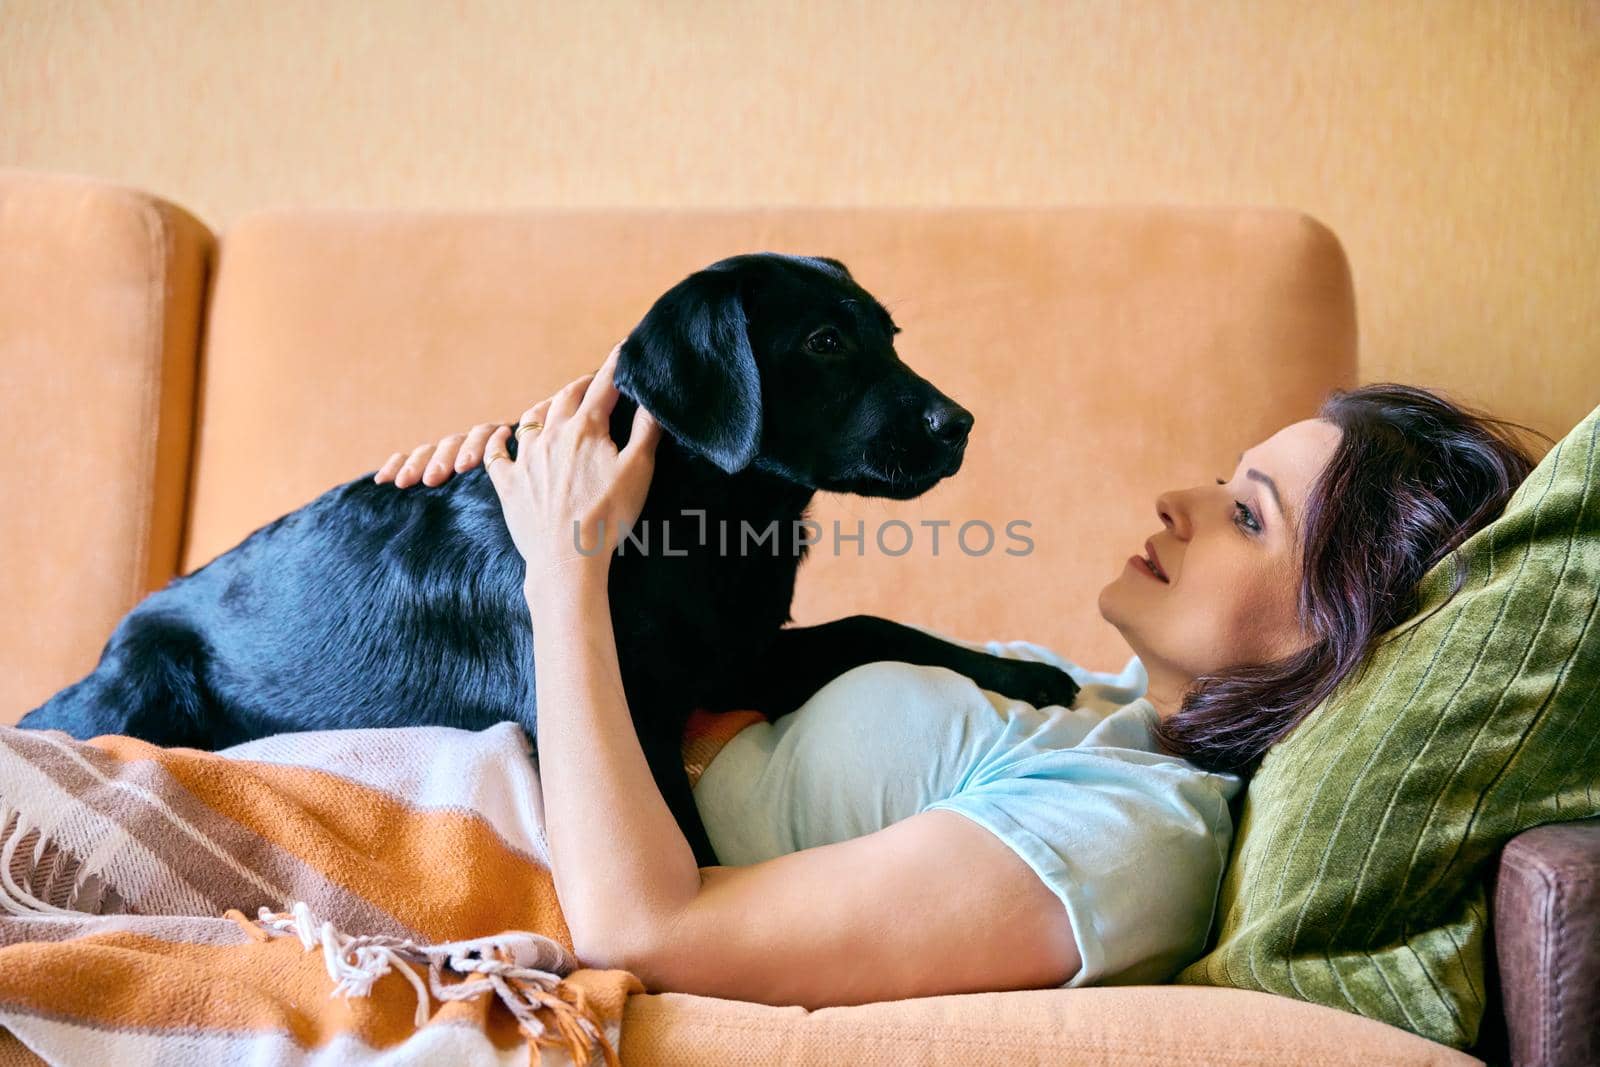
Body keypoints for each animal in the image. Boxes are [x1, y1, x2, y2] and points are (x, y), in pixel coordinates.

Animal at [21, 252, 1075, 870]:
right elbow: (687, 849)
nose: (961, 424)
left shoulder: (740, 657)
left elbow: (875, 623)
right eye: (825, 340)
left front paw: (1026, 674)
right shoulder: (627, 712)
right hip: (147, 682)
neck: (704, 518)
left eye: (889, 336)